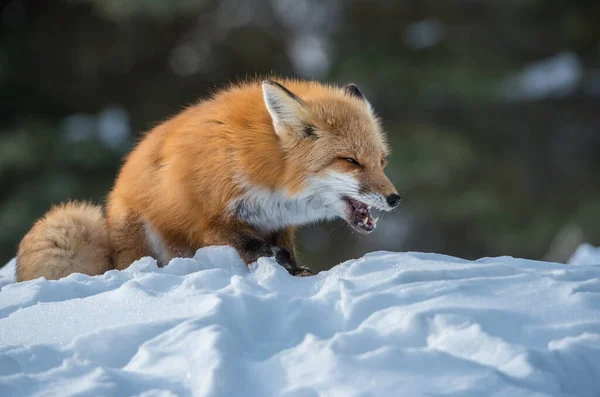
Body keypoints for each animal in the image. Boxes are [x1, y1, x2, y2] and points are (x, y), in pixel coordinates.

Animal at [16, 79, 400, 280]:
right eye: (350, 161)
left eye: (381, 161)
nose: (395, 199)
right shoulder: (210, 223)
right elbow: (264, 250)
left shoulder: (278, 223)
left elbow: (286, 251)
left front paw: (299, 273)